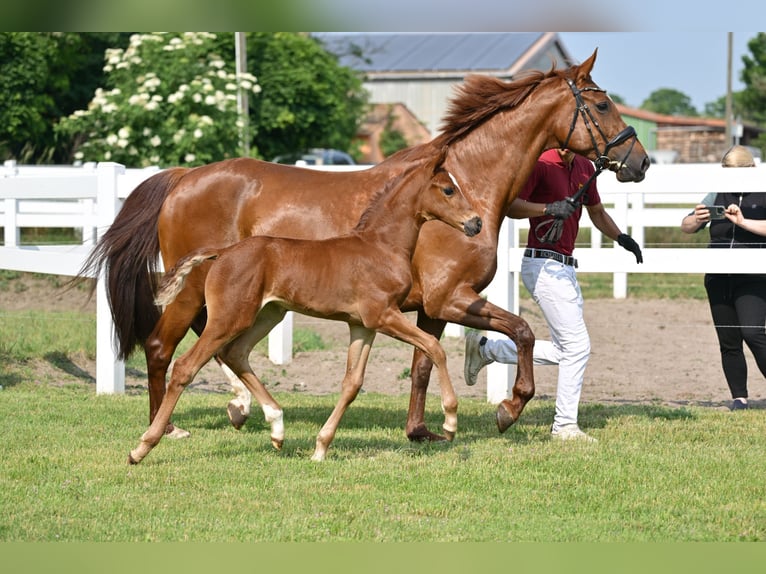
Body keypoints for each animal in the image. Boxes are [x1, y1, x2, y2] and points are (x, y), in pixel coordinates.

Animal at [127, 144, 482, 463]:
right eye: (448, 189)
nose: (476, 223)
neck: (380, 246)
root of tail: (222, 253)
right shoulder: (383, 315)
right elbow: (434, 348)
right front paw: (450, 422)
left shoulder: (362, 325)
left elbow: (352, 383)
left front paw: (321, 447)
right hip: (229, 317)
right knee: (185, 365)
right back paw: (142, 447)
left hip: (268, 313)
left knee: (235, 353)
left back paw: (277, 428)